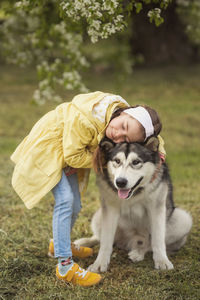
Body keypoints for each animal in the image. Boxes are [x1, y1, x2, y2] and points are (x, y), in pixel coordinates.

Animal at [75, 137, 192, 274]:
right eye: (117, 161)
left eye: (136, 162)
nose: (120, 182)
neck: (133, 194)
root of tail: (129, 243)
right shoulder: (110, 209)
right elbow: (106, 241)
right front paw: (100, 263)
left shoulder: (156, 208)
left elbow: (157, 239)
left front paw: (162, 261)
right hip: (99, 216)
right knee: (101, 237)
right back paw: (82, 243)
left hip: (183, 219)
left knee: (149, 244)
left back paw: (138, 253)